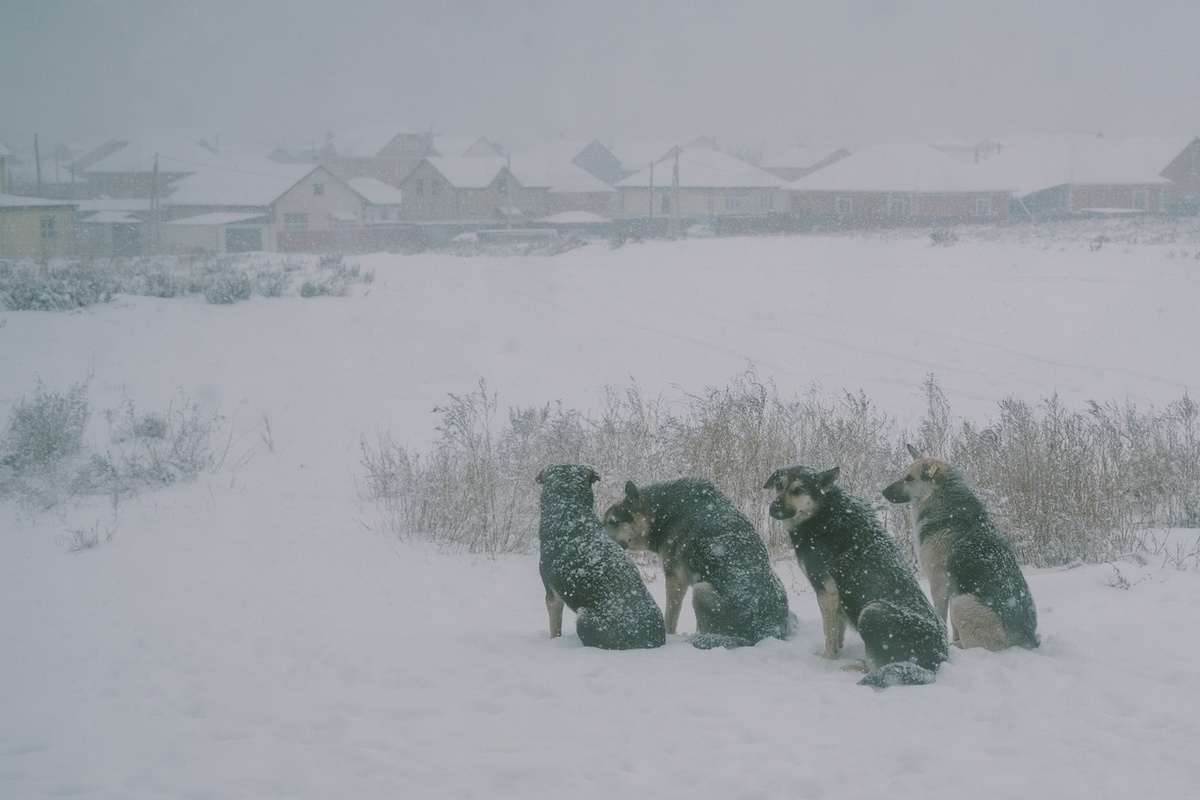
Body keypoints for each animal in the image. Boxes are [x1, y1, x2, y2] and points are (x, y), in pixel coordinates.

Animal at [604, 479, 792, 647]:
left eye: (614, 522)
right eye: (603, 522)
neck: (663, 513)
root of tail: (763, 631)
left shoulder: (675, 579)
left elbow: (670, 617)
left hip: (701, 590)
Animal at [768, 462, 945, 690]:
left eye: (798, 490)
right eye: (778, 485)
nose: (773, 509)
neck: (822, 513)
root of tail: (937, 659)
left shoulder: (825, 590)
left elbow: (829, 632)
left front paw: (826, 662)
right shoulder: (834, 597)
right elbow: (838, 631)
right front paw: (836, 651)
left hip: (871, 612)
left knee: (877, 666)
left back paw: (851, 666)